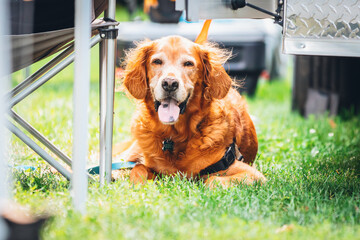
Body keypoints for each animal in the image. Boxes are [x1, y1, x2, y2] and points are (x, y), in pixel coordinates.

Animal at [119, 34, 266, 187]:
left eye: (188, 64)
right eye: (157, 61)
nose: (170, 84)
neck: (174, 137)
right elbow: (138, 169)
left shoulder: (252, 174)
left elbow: (211, 180)